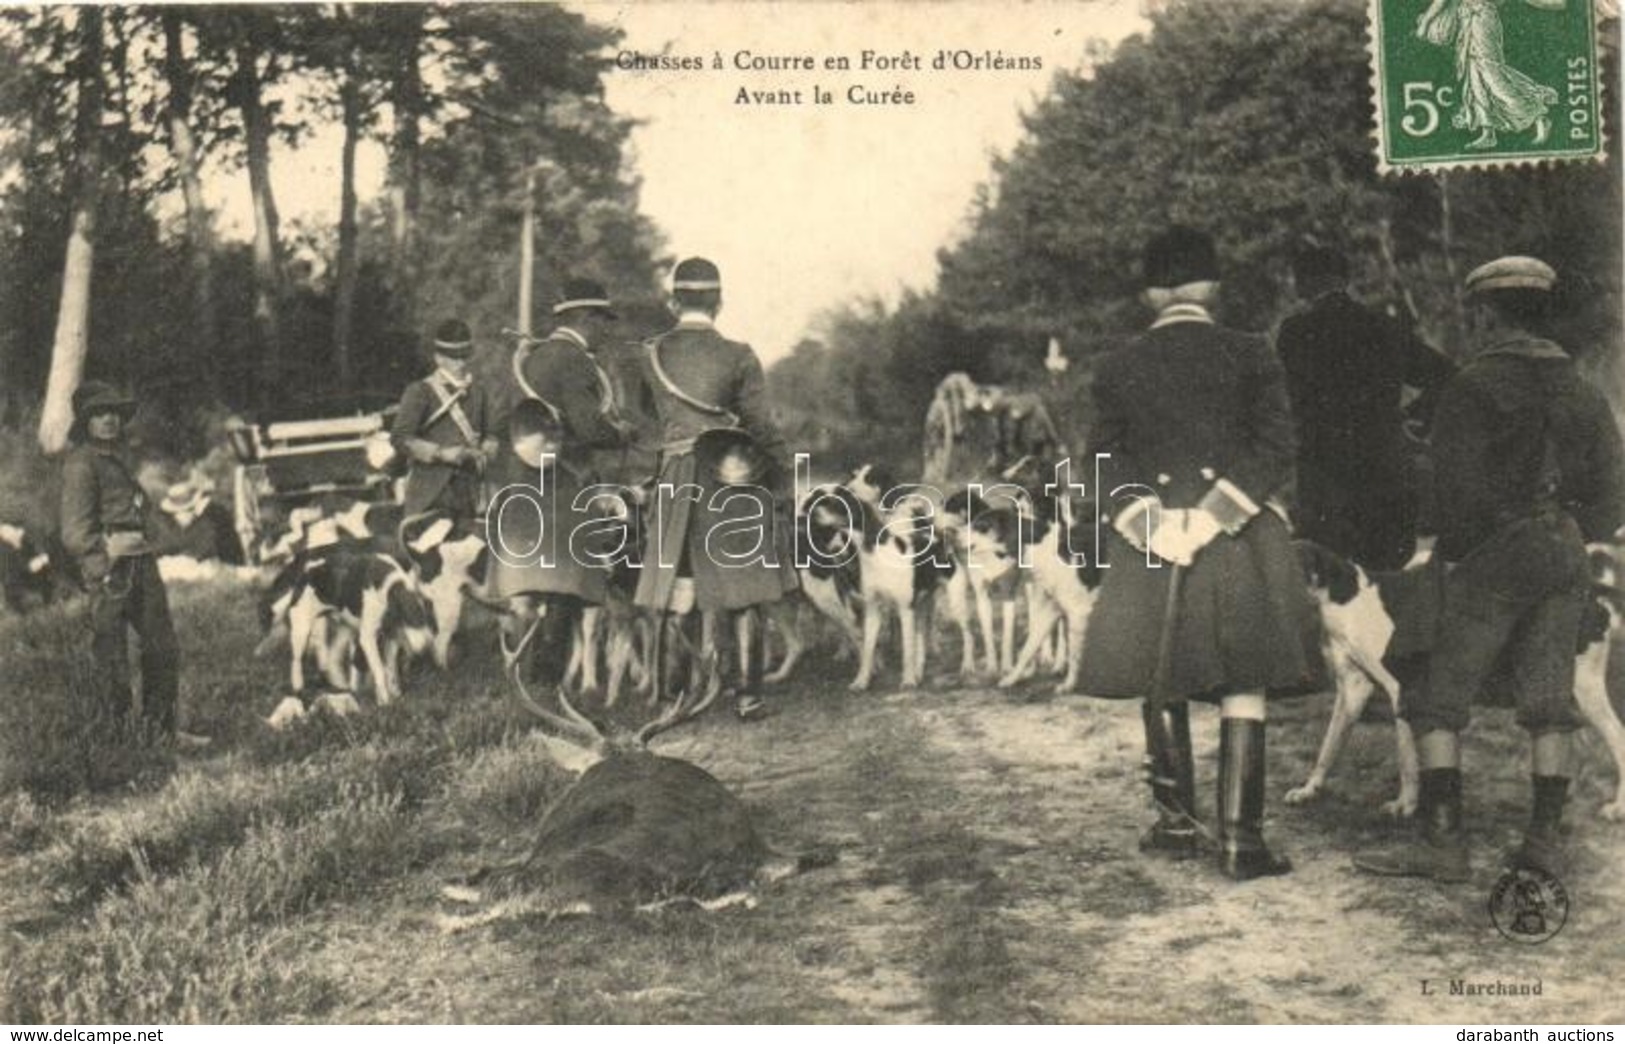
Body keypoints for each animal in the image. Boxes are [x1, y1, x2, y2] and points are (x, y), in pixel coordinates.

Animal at [1280, 539, 1625, 816]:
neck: (1347, 599)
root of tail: (1592, 590)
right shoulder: (1352, 692)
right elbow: (1328, 747)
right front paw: (1309, 790)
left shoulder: (1402, 691)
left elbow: (1407, 761)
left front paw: (1406, 805)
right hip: (1563, 692)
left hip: (1584, 689)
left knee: (1617, 739)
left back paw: (1616, 808)